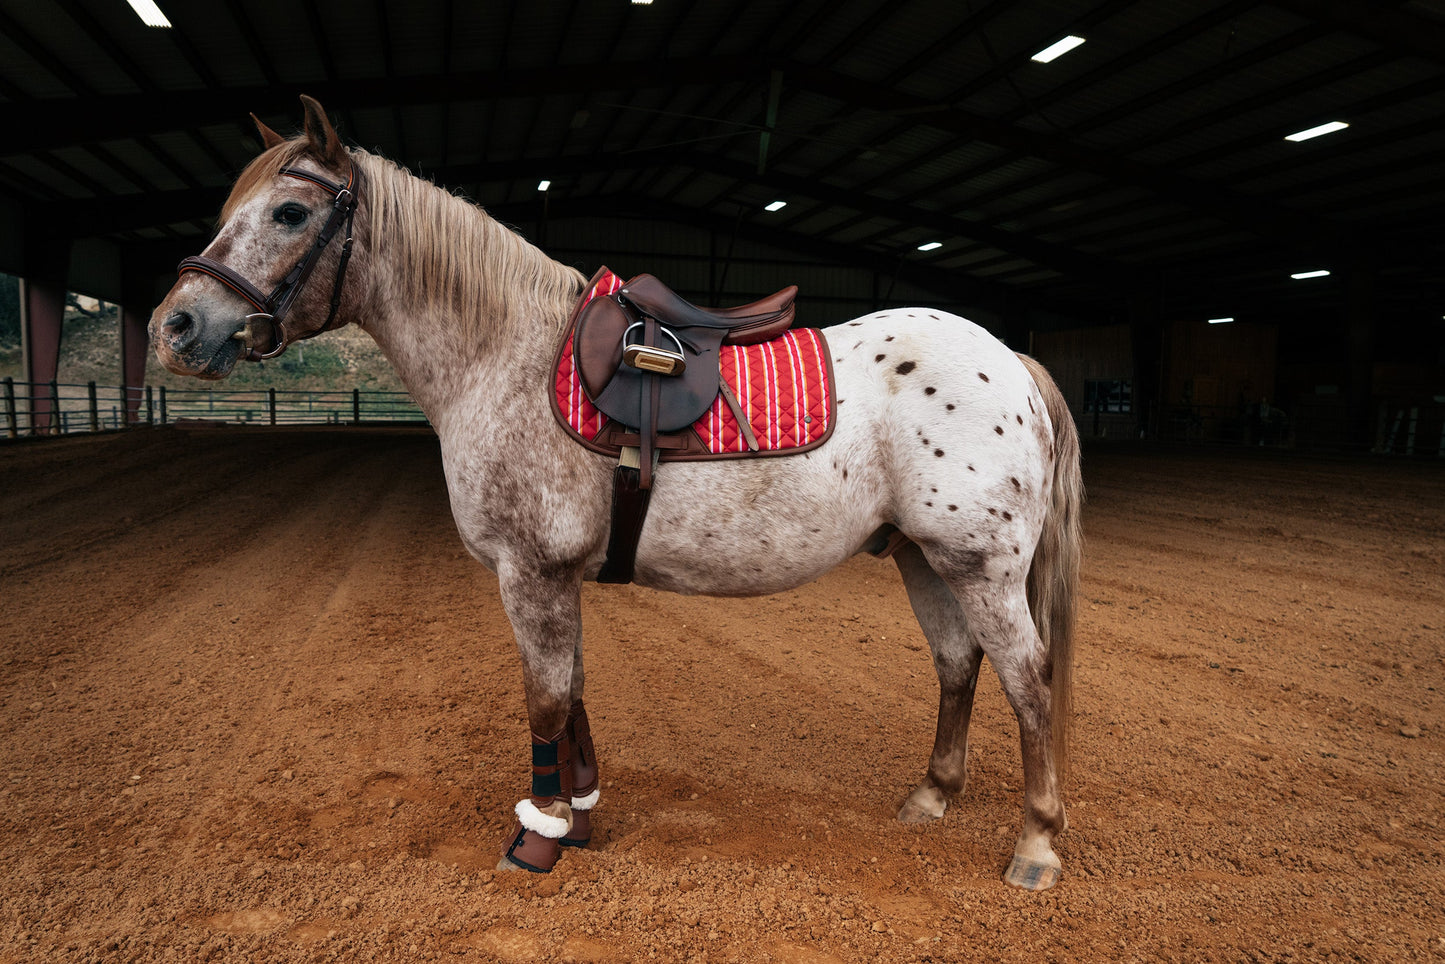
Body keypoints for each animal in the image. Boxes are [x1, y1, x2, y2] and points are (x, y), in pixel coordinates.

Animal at [149, 96, 1083, 891]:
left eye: (290, 213)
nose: (175, 327)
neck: (507, 357)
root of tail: (1010, 359)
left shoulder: (528, 572)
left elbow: (544, 699)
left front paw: (539, 834)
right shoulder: (554, 574)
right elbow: (571, 694)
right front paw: (581, 819)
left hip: (981, 566)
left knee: (1028, 682)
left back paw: (1035, 844)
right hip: (925, 558)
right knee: (958, 666)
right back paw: (930, 796)